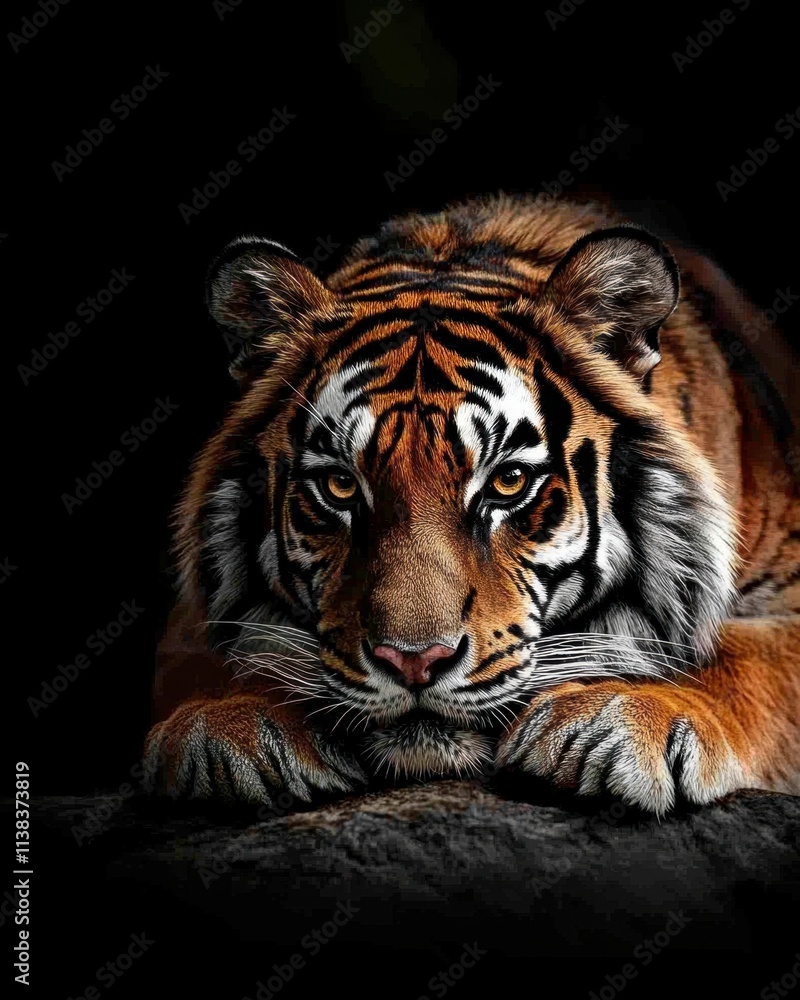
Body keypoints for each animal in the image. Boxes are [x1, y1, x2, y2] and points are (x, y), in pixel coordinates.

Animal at [145, 193, 800, 815]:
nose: (413, 661)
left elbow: (740, 655)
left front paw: (617, 714)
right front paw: (228, 725)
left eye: (508, 482)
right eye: (340, 487)